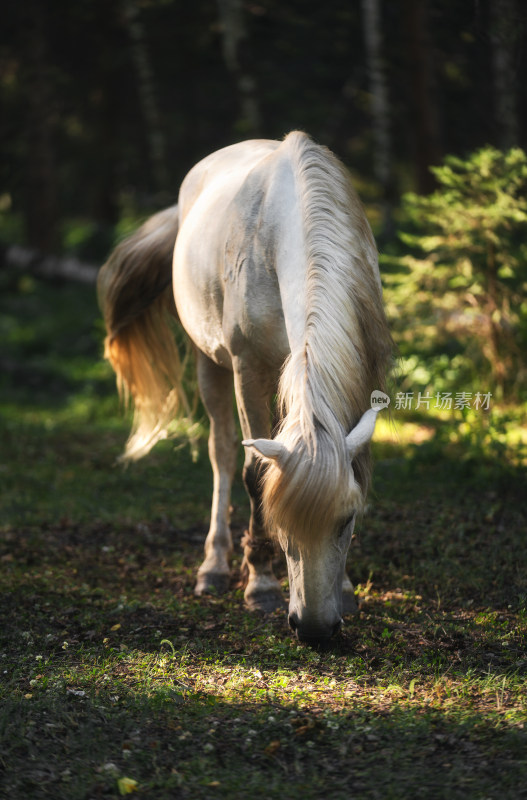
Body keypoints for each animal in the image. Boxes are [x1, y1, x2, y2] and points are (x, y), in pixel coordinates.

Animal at [98, 131, 392, 644]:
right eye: (283, 528)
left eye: (346, 521)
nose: (315, 630)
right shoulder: (247, 368)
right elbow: (255, 474)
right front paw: (261, 584)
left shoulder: (362, 373)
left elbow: (355, 469)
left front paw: (347, 588)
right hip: (209, 364)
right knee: (222, 454)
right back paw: (214, 567)